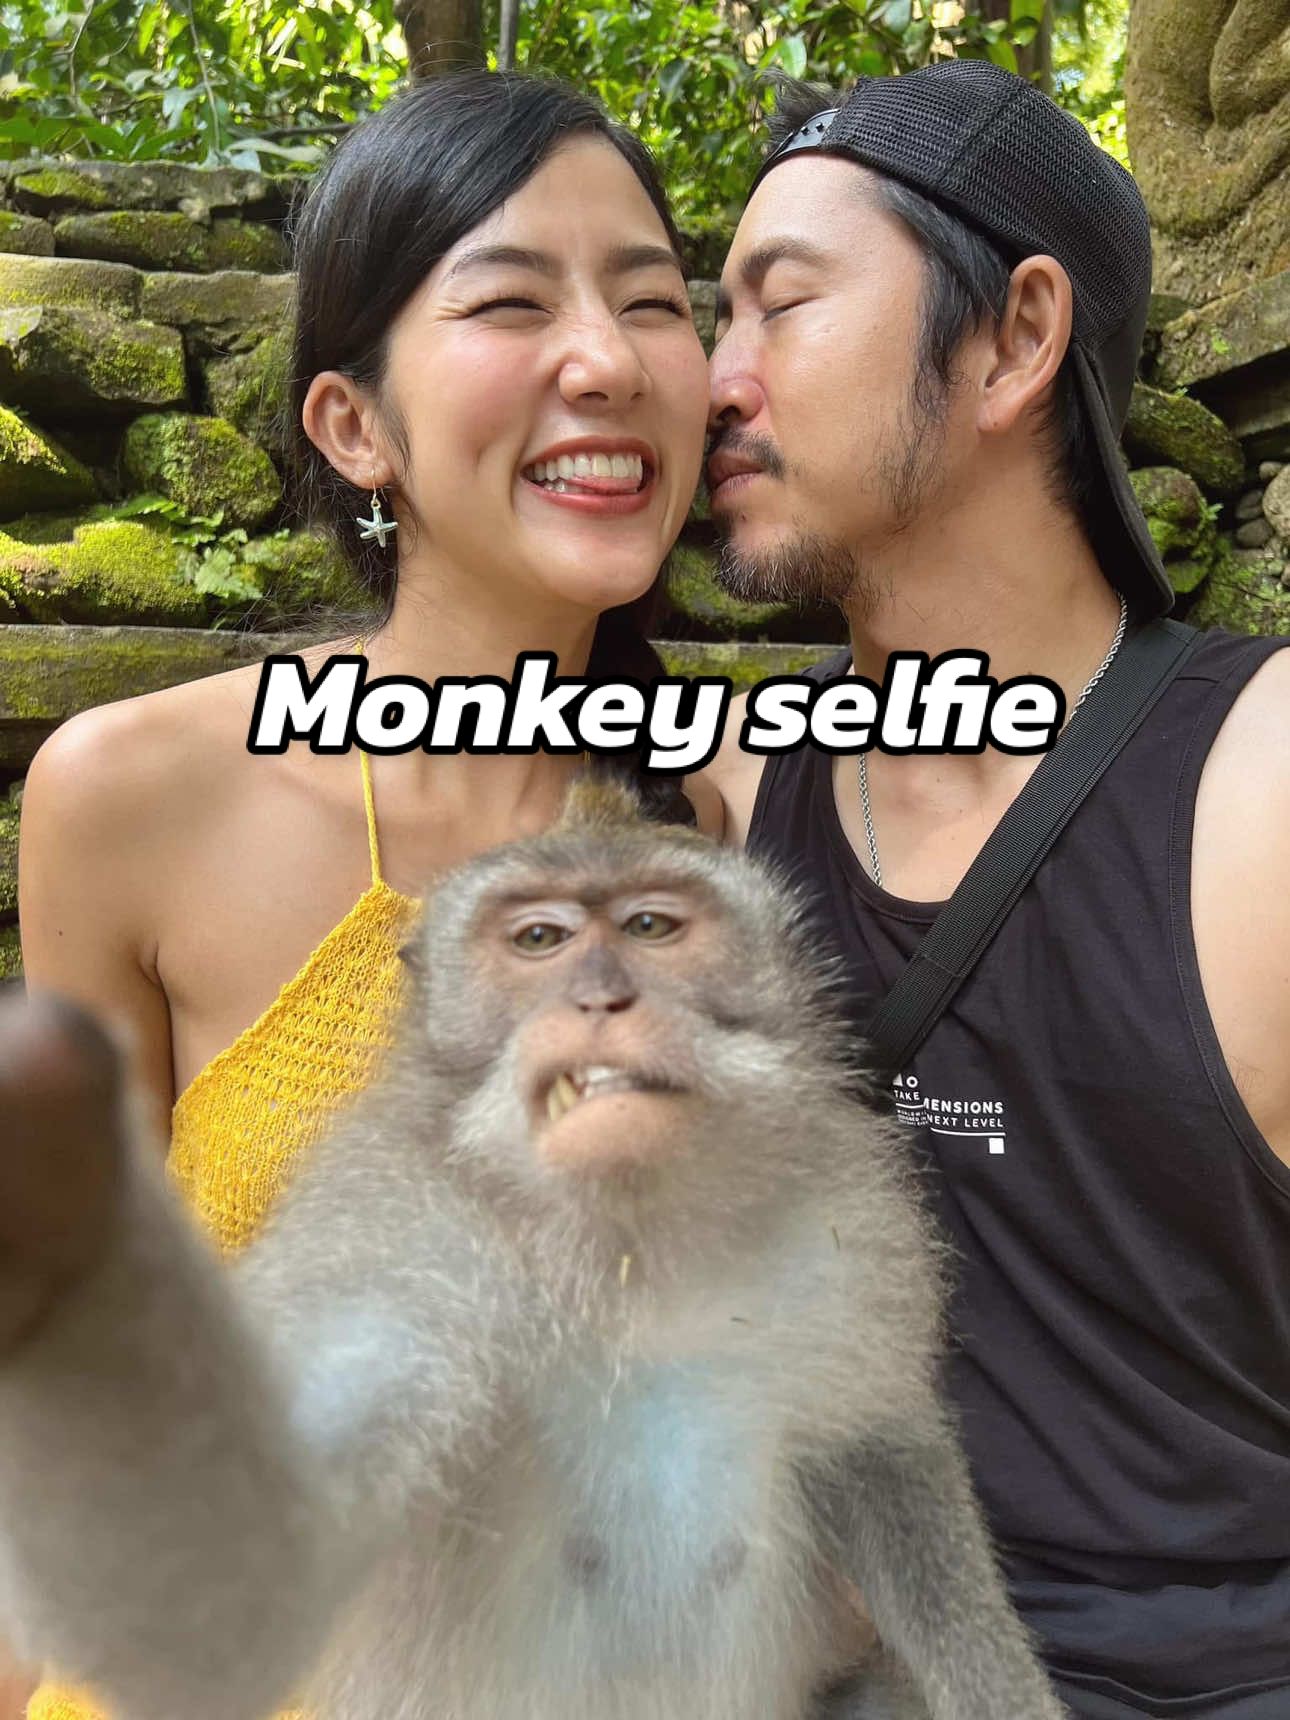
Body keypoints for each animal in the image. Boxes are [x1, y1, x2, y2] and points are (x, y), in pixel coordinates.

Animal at [0, 780, 1065, 1720]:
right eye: (540, 940)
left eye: (650, 927)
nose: (601, 998)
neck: (632, 1245)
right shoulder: (406, 1239)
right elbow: (250, 1596)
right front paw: (58, 1219)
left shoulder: (847, 1221)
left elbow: (885, 1454)